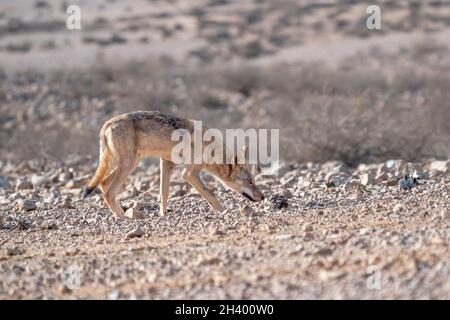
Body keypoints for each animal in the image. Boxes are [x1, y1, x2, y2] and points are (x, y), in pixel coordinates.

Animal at [81, 110, 264, 218]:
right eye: (250, 181)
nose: (263, 197)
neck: (211, 149)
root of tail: (107, 123)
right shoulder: (189, 173)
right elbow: (211, 194)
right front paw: (224, 211)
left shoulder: (166, 163)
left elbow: (164, 194)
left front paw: (164, 216)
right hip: (128, 165)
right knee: (108, 192)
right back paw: (122, 216)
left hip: (128, 164)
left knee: (104, 183)